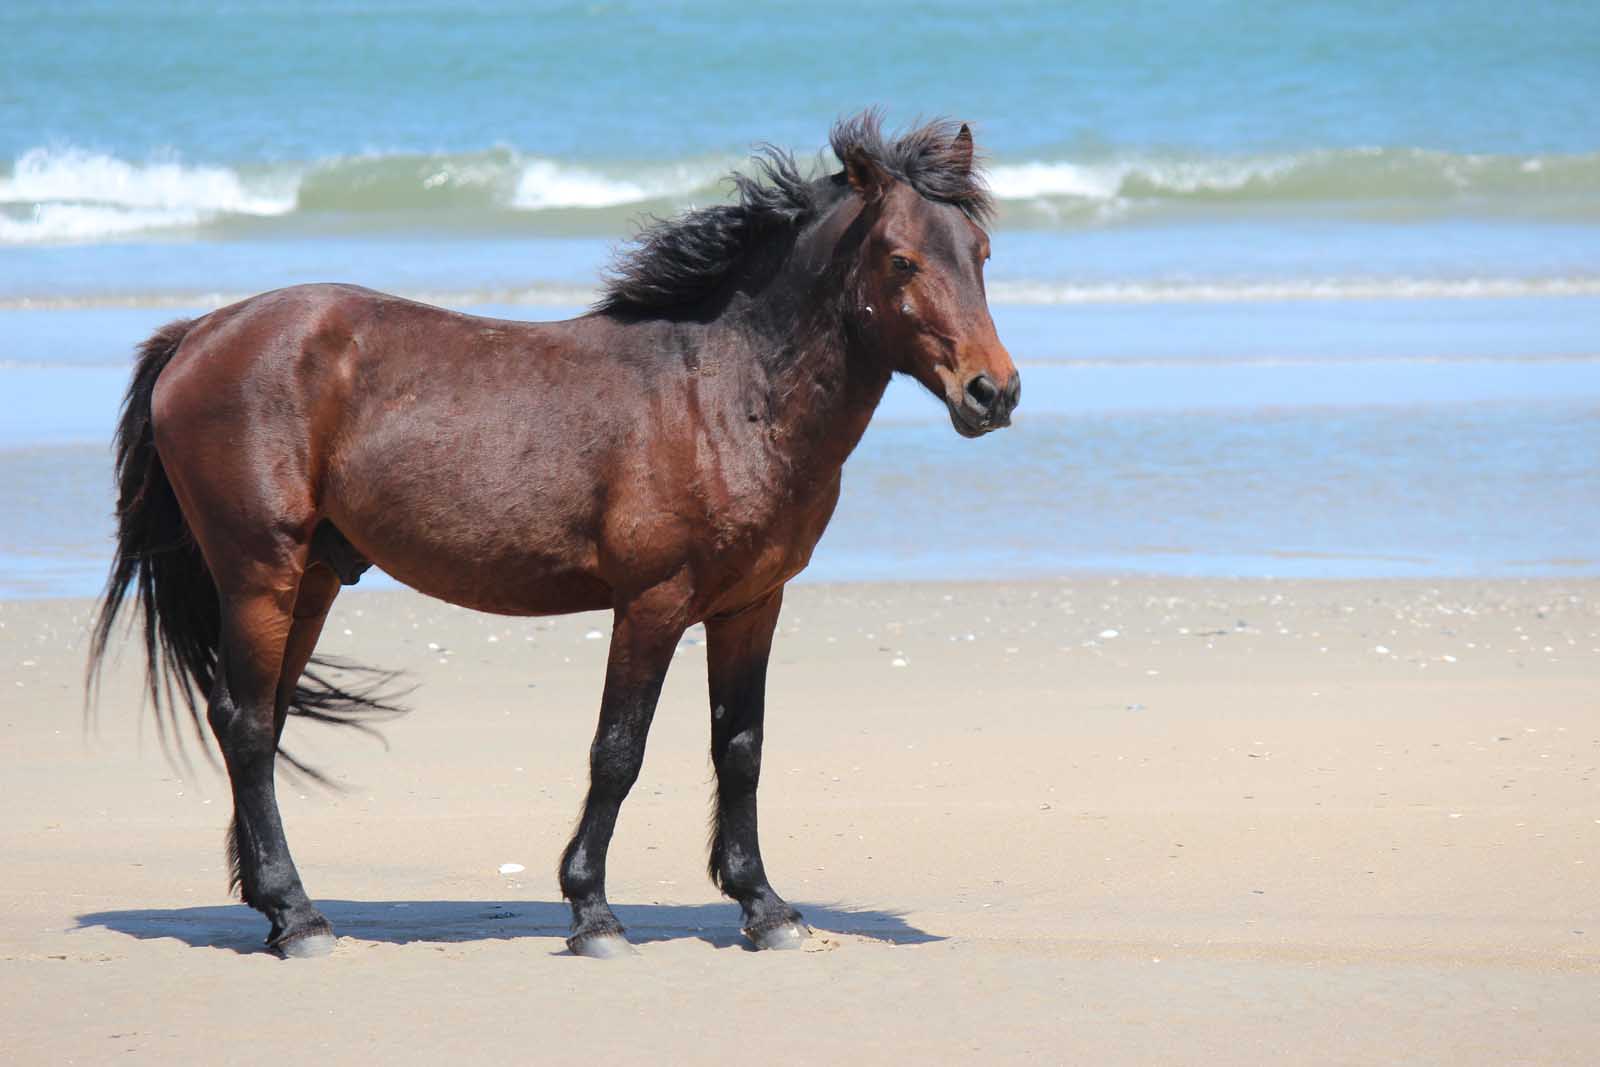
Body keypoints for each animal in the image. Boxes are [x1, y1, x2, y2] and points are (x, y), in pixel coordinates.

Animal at [87, 115, 1017, 959]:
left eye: (979, 251)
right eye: (901, 258)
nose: (994, 392)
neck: (720, 389)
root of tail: (198, 334)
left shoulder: (751, 605)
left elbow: (740, 748)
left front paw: (765, 907)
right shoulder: (652, 604)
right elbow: (618, 752)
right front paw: (594, 912)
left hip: (309, 580)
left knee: (265, 720)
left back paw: (271, 902)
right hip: (259, 574)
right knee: (246, 725)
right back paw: (299, 917)